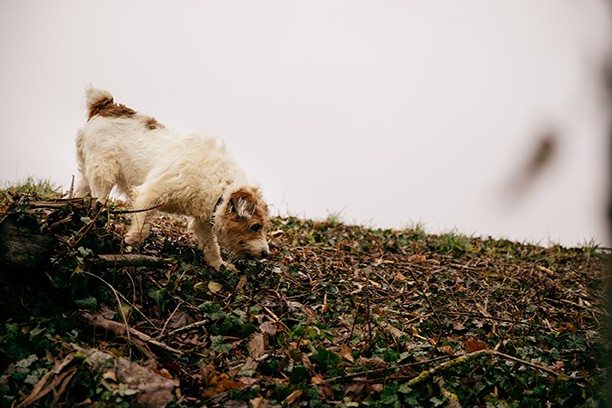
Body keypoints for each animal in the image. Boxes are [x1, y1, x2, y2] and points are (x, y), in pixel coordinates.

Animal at [74, 86, 270, 270]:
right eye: (255, 226)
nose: (266, 254)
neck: (220, 187)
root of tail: (104, 105)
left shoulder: (203, 223)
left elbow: (211, 246)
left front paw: (218, 264)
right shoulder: (149, 195)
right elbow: (141, 227)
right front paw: (129, 244)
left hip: (86, 175)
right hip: (103, 173)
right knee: (99, 200)